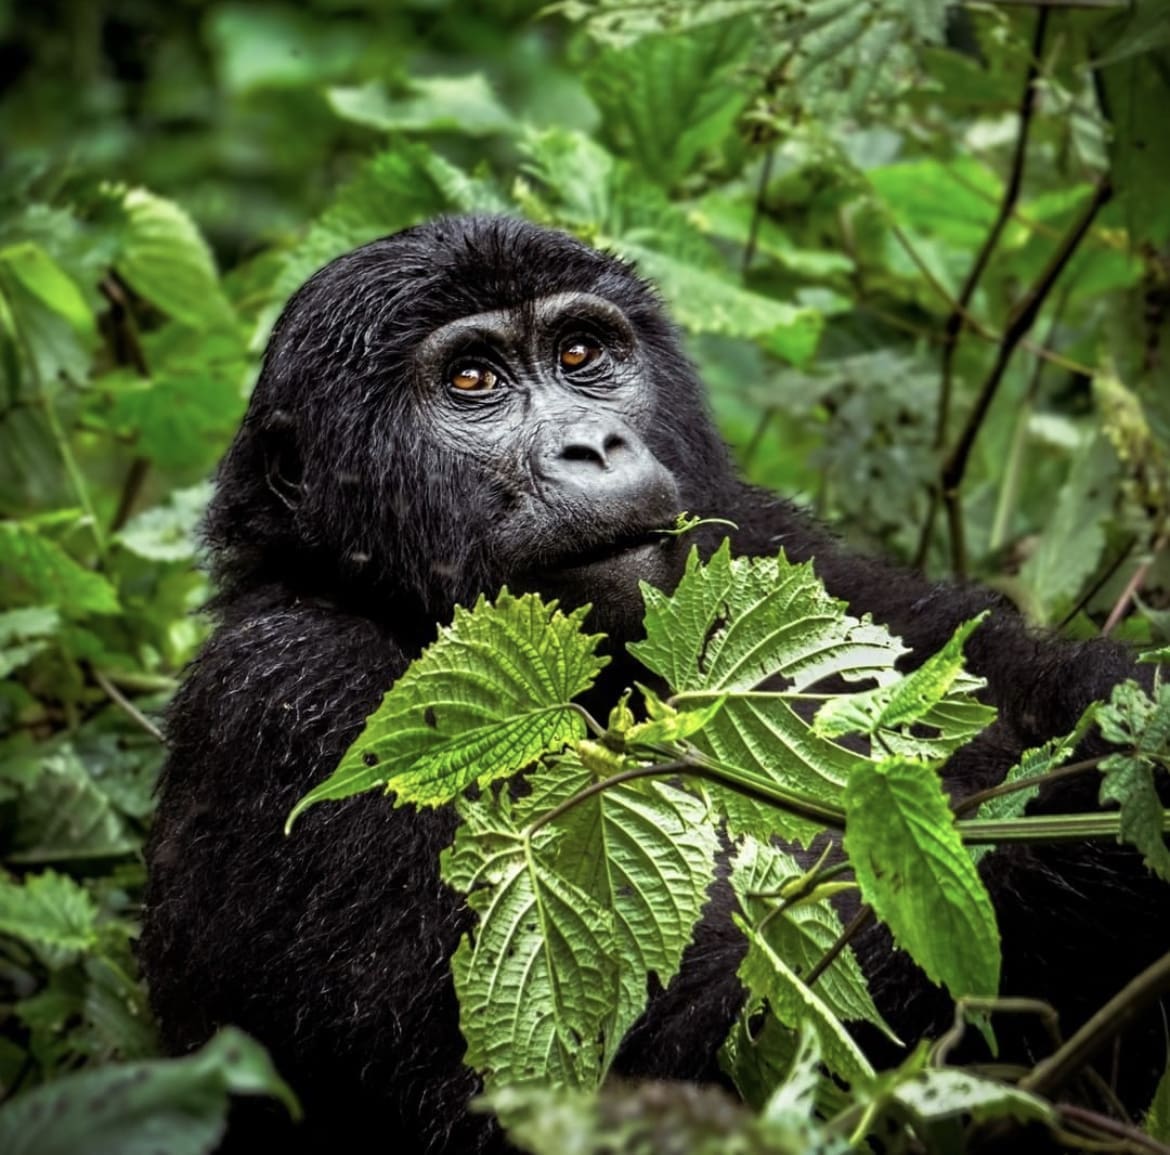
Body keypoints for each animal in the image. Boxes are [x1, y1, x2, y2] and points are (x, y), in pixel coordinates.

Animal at [139, 211, 1170, 1151]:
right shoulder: (289, 690)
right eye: (472, 380)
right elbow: (540, 1088)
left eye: (582, 352)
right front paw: (1078, 838)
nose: (594, 446)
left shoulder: (769, 543)